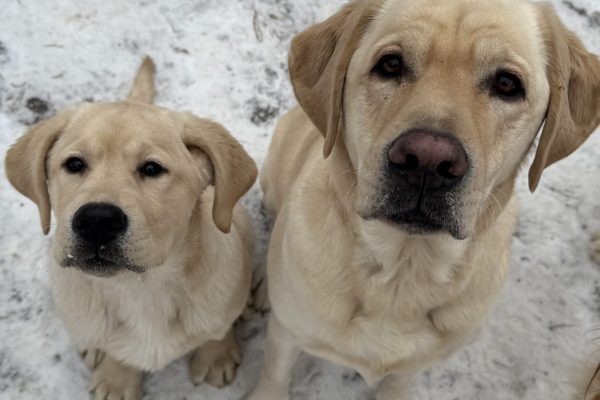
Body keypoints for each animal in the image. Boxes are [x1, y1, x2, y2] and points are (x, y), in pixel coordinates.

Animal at [5, 57, 258, 400]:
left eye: (152, 168)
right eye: (74, 164)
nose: (97, 221)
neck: (141, 289)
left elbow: (215, 330)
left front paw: (216, 356)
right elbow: (117, 352)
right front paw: (117, 379)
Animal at [244, 0, 600, 400]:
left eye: (508, 84)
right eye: (390, 64)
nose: (428, 161)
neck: (403, 271)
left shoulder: (411, 367)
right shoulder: (287, 335)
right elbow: (274, 375)